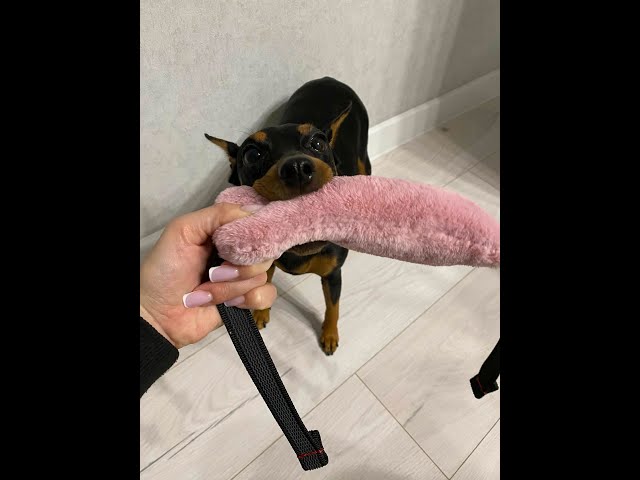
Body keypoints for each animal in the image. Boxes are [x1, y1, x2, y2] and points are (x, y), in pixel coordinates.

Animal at [205, 77, 371, 355]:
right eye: (252, 154)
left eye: (318, 143)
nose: (297, 168)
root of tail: (328, 79)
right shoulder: (266, 261)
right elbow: (265, 283)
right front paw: (261, 312)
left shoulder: (333, 275)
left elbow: (333, 307)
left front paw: (329, 335)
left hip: (363, 158)